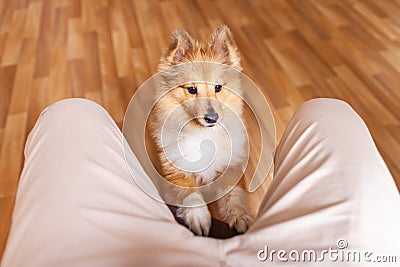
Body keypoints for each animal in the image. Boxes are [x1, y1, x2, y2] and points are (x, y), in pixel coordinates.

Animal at [147, 25, 253, 237]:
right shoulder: (177, 171)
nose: (212, 119)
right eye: (192, 89)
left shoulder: (231, 168)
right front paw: (199, 219)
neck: (204, 135)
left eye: (218, 87)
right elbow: (191, 194)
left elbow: (233, 195)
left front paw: (239, 217)